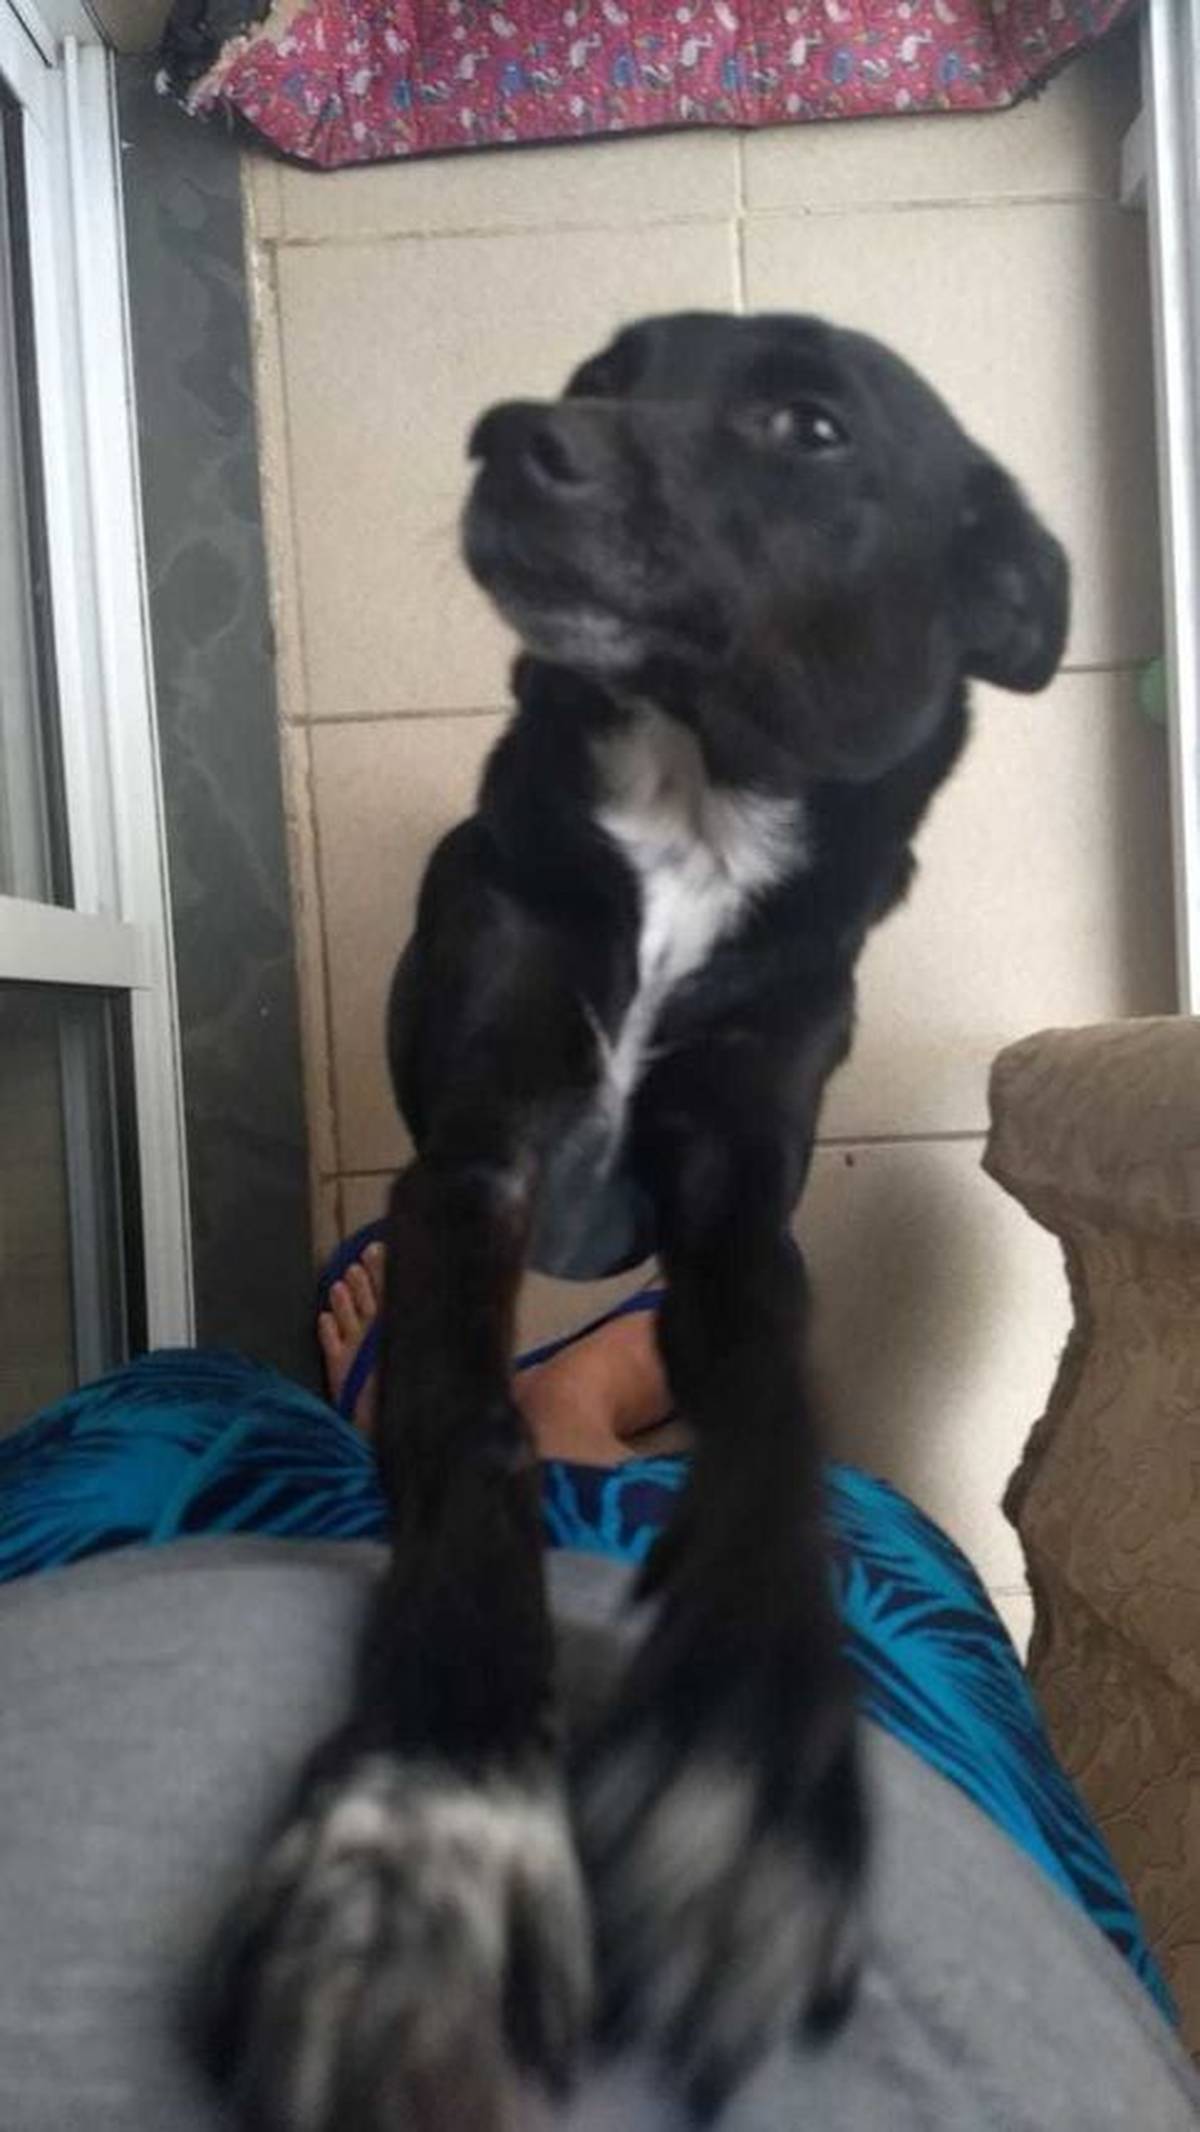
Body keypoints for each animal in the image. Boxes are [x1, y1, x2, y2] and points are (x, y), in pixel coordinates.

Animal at [213, 311, 1068, 2131]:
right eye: (603, 374)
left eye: (807, 424)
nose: (507, 435)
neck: (693, 809)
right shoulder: (474, 1167)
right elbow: (476, 1437)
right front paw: (432, 1834)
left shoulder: (740, 1203)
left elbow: (782, 1445)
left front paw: (747, 1764)